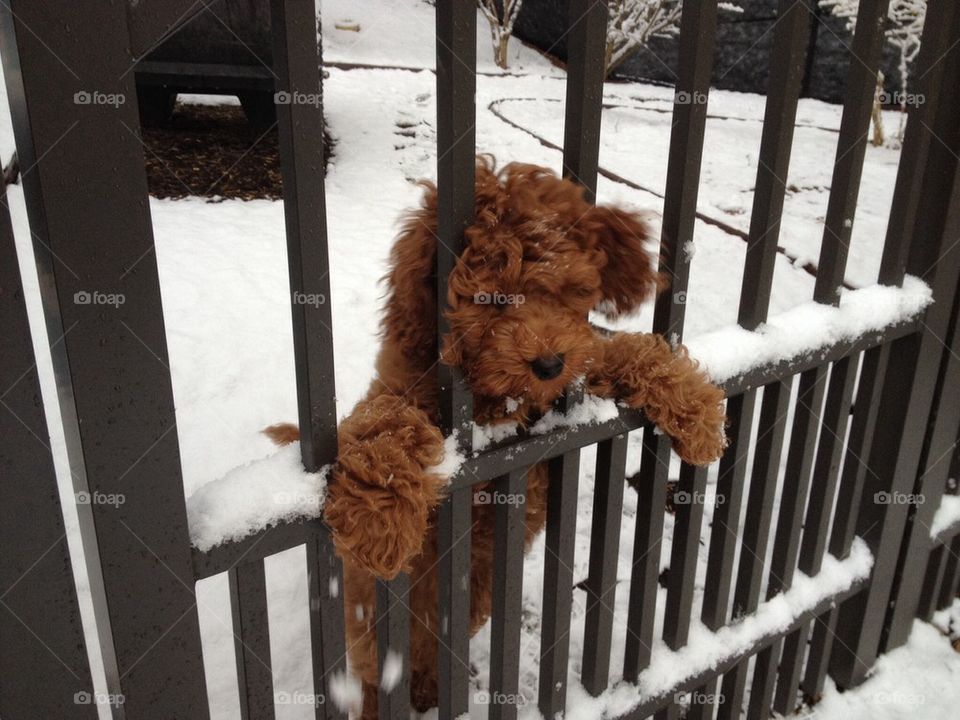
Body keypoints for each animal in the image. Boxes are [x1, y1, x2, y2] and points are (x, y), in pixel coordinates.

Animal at [266, 159, 724, 720]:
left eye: (569, 291)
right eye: (493, 299)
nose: (547, 363)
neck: (496, 399)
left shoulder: (577, 372)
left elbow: (621, 351)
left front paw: (698, 412)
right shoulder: (402, 389)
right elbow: (386, 419)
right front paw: (379, 515)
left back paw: (430, 689)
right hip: (373, 617)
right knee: (376, 676)